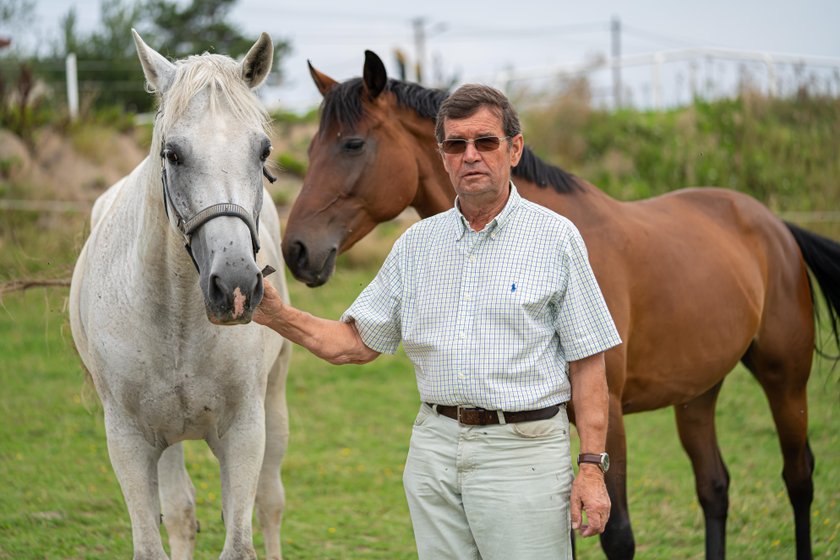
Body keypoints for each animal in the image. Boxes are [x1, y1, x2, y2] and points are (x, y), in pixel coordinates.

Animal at [69, 30, 292, 560]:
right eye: (172, 153)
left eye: (263, 151)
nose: (236, 285)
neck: (178, 320)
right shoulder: (129, 441)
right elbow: (157, 537)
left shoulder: (244, 433)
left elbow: (241, 541)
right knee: (181, 515)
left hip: (273, 405)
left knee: (269, 502)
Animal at [280, 50, 840, 556]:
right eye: (308, 151)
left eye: (353, 143)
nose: (295, 250)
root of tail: (773, 225)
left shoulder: (606, 412)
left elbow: (616, 534)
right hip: (698, 392)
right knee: (715, 487)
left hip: (784, 381)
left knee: (799, 478)